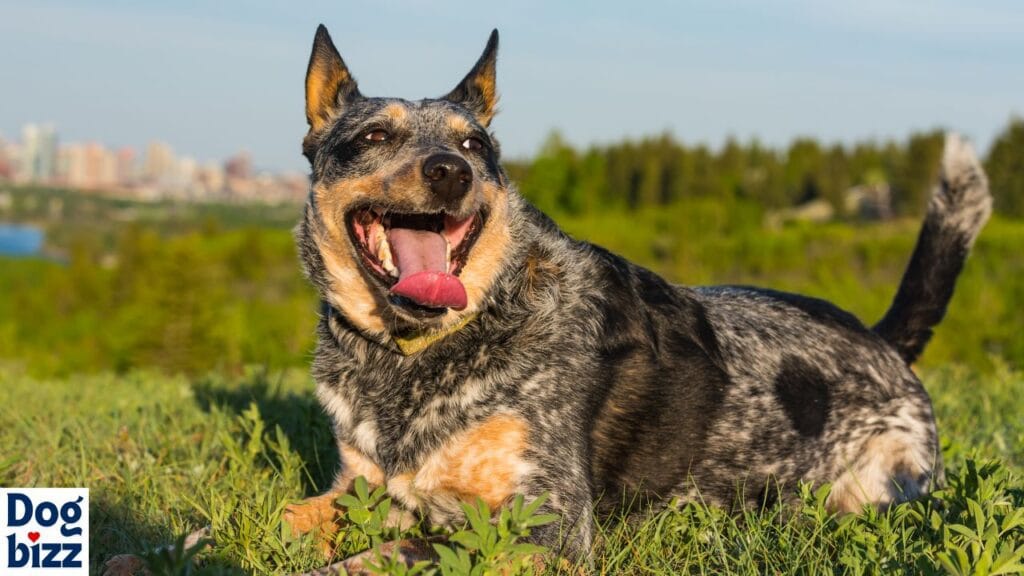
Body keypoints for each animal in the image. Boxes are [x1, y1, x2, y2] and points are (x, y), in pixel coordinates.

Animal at [286, 25, 991, 565]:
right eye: (374, 137)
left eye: (474, 144)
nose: (451, 171)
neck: (412, 356)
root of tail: (883, 342)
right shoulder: (358, 485)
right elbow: (290, 513)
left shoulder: (545, 527)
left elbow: (390, 552)